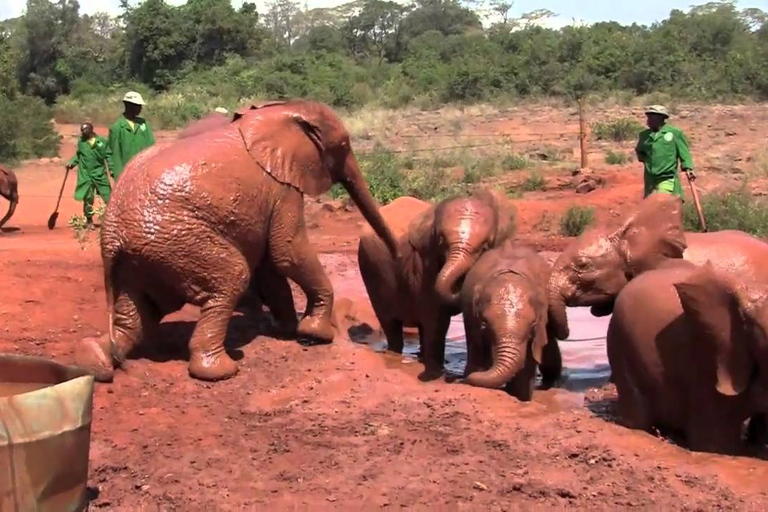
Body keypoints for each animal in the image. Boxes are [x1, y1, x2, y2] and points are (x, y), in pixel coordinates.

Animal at [77, 99, 400, 380]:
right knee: (231, 277)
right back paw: (222, 370)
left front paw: (285, 329)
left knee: (137, 316)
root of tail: (111, 236)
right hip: (176, 241)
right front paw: (315, 334)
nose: (397, 256)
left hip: (141, 258)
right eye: (344, 147)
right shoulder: (282, 186)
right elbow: (287, 251)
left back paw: (96, 361)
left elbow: (272, 265)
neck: (280, 110)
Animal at [358, 189, 516, 380]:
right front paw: (437, 371)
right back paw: (396, 354)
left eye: (485, 247)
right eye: (441, 241)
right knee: (390, 322)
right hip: (371, 271)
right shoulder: (425, 264)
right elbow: (436, 317)